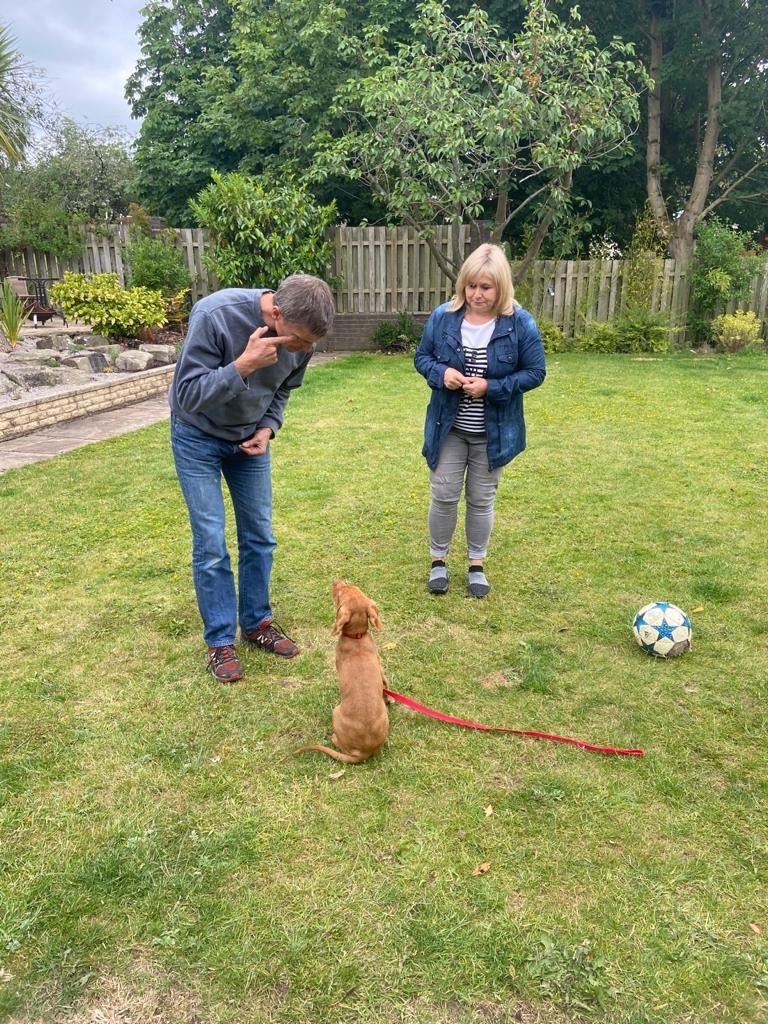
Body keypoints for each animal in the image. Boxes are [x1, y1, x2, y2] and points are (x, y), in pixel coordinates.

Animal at [294, 581, 391, 765]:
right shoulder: (381, 668)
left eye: (340, 593)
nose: (336, 580)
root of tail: (363, 752)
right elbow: (386, 683)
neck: (357, 637)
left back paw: (334, 738)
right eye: (352, 586)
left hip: (335, 712)